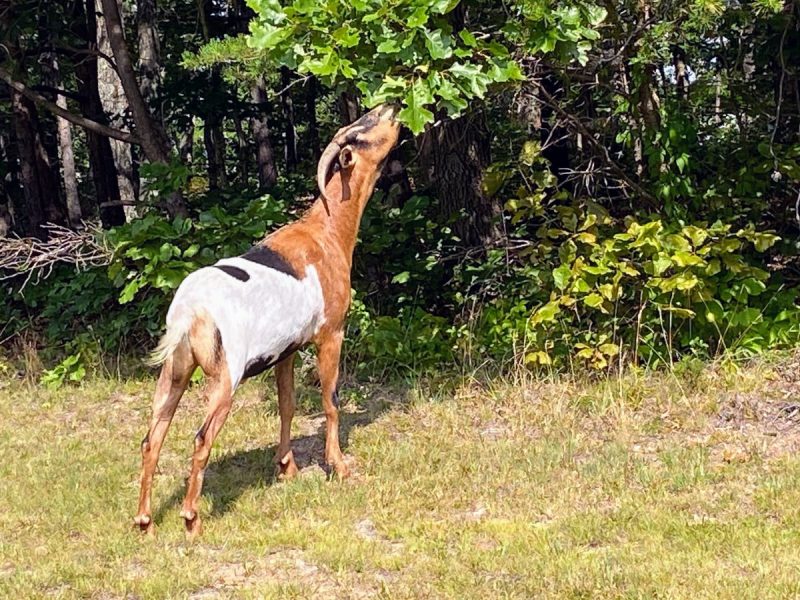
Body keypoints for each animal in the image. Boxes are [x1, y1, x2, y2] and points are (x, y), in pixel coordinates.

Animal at [135, 104, 406, 536]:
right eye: (361, 131)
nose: (390, 107)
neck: (326, 229)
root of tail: (190, 310)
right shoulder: (330, 334)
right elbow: (330, 401)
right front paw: (339, 467)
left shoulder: (287, 351)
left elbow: (287, 404)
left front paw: (287, 468)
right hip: (226, 374)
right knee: (201, 437)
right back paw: (191, 517)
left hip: (175, 370)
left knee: (152, 437)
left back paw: (144, 520)